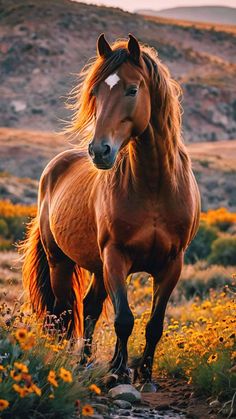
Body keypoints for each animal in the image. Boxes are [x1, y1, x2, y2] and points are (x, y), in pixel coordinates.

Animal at [21, 33, 200, 390]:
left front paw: (145, 375)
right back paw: (64, 359)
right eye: (95, 92)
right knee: (61, 312)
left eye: (132, 90)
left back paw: (85, 361)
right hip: (61, 262)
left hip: (97, 265)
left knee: (88, 307)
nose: (99, 151)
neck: (154, 185)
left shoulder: (172, 264)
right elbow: (123, 319)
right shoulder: (116, 257)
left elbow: (154, 324)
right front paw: (118, 371)